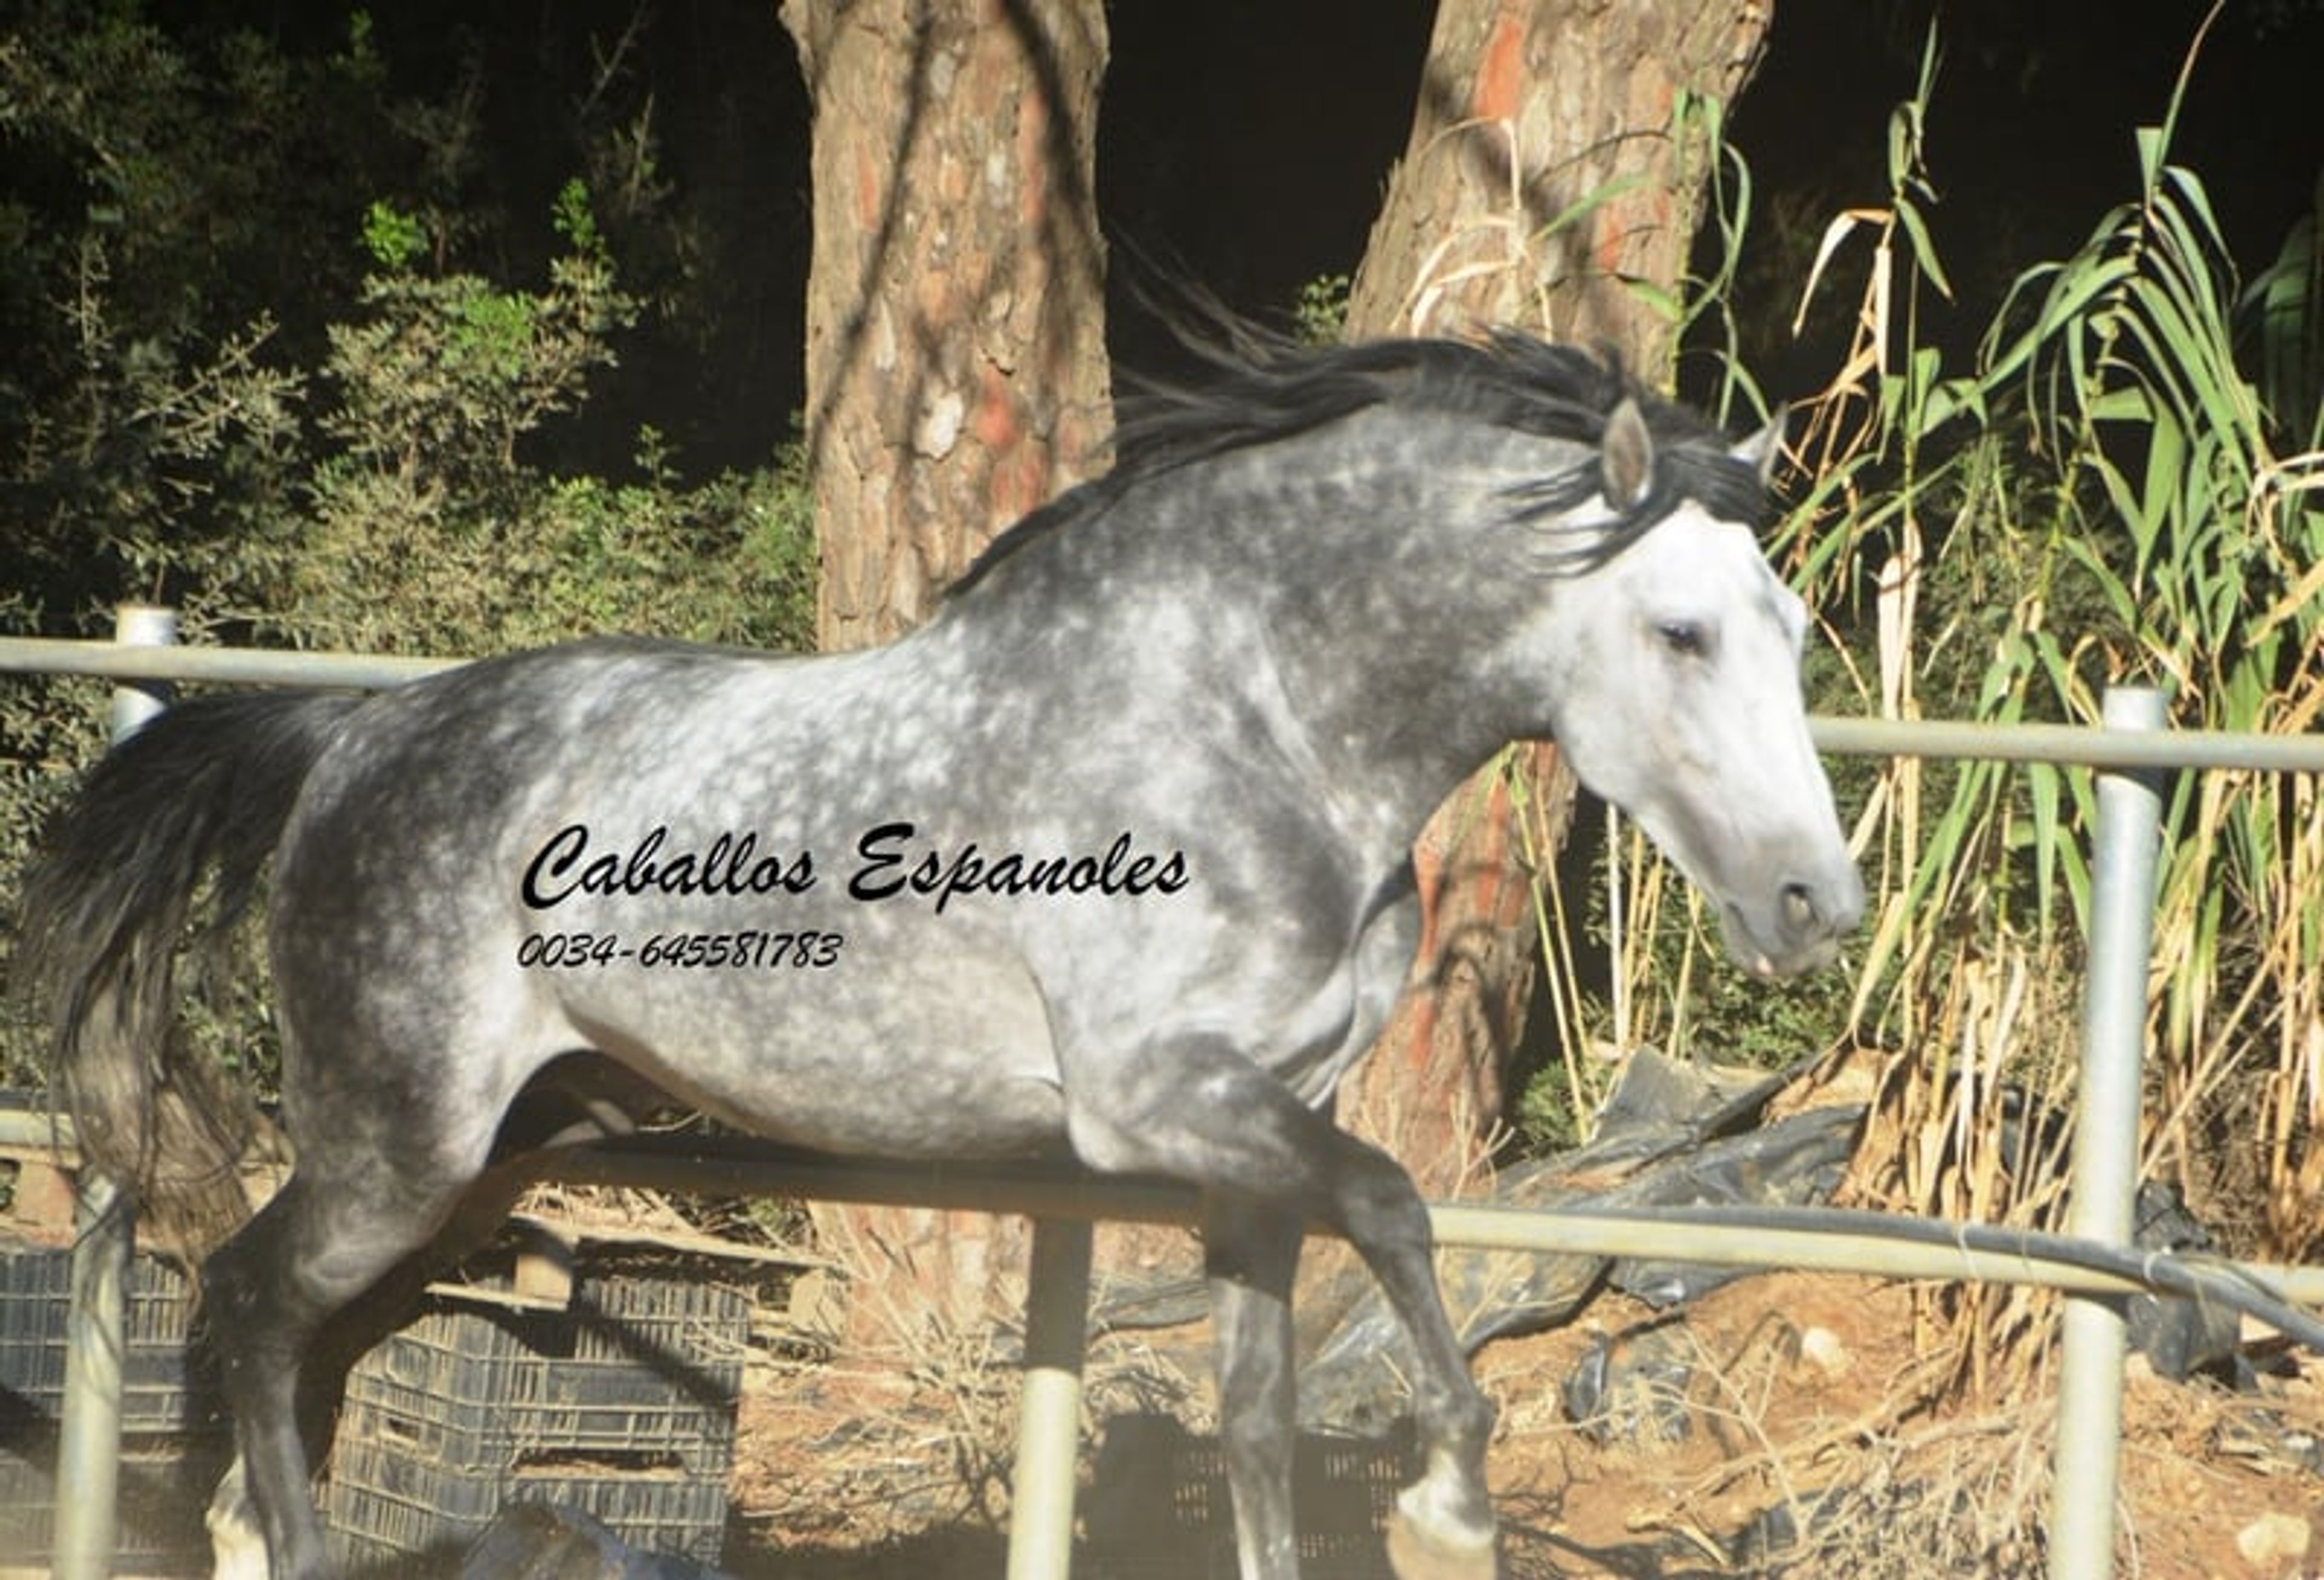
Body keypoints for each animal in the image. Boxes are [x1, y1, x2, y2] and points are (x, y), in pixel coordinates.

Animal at [20, 329, 1863, 1580]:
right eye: (1680, 631)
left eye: (1789, 628)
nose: (1815, 905)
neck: (1255, 719)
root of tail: (352, 733)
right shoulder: (1153, 1102)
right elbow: (1404, 1209)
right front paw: (1449, 1502)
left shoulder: (1254, 1156)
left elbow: (1262, 1425)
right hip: (400, 1142)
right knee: (250, 1300)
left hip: (522, 1147)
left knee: (309, 1331)